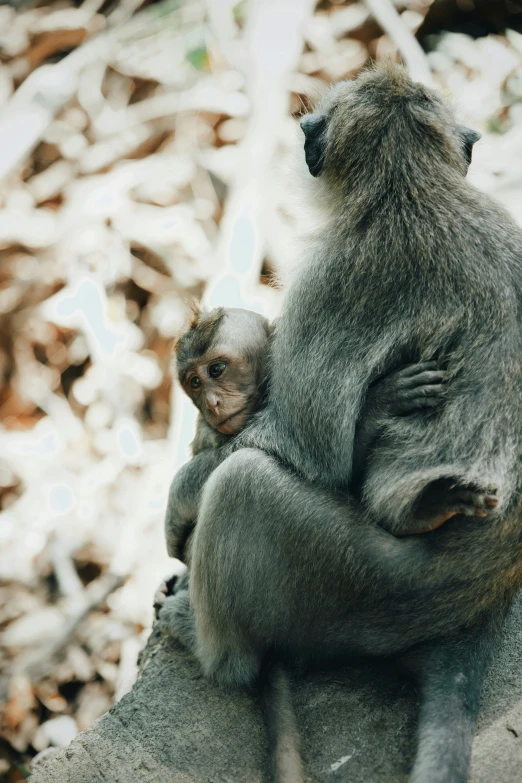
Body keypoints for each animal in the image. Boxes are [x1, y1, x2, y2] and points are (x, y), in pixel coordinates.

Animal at [165, 304, 448, 568]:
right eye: (195, 383)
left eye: (216, 370)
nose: (211, 403)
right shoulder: (209, 431)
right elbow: (335, 474)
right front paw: (379, 406)